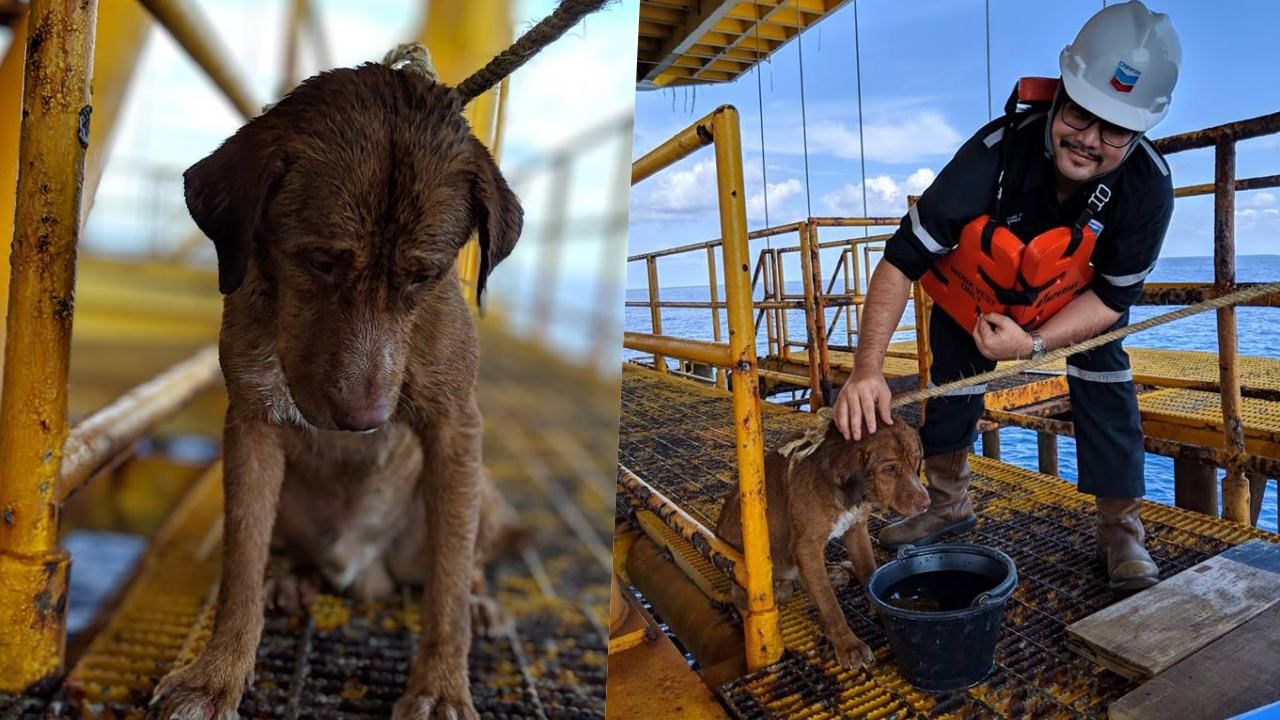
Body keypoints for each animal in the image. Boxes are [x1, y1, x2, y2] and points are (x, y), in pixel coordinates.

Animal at [151, 63, 524, 717]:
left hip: (477, 491)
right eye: (321, 261)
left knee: (468, 561)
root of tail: (362, 567)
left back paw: (481, 600)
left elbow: (448, 586)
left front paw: (441, 687)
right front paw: (215, 676)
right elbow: (240, 567)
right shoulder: (251, 426)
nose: (361, 419)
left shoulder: (456, 429)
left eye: (425, 275)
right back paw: (293, 579)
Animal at [716, 407, 926, 671]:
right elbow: (828, 602)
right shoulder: (807, 547)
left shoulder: (856, 530)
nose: (926, 503)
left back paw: (837, 572)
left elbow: (868, 568)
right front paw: (848, 644)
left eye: (916, 460)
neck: (848, 494)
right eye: (889, 470)